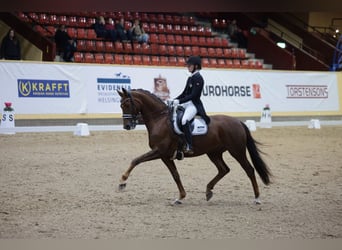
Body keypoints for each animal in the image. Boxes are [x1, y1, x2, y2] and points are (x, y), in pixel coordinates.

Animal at [116, 88, 272, 205]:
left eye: (127, 105)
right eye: (121, 105)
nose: (127, 126)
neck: (159, 119)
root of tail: (238, 122)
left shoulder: (159, 151)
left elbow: (136, 160)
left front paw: (122, 182)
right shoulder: (165, 156)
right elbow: (175, 175)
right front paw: (180, 197)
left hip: (237, 151)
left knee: (249, 170)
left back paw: (257, 198)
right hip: (214, 153)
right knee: (224, 169)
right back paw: (208, 191)